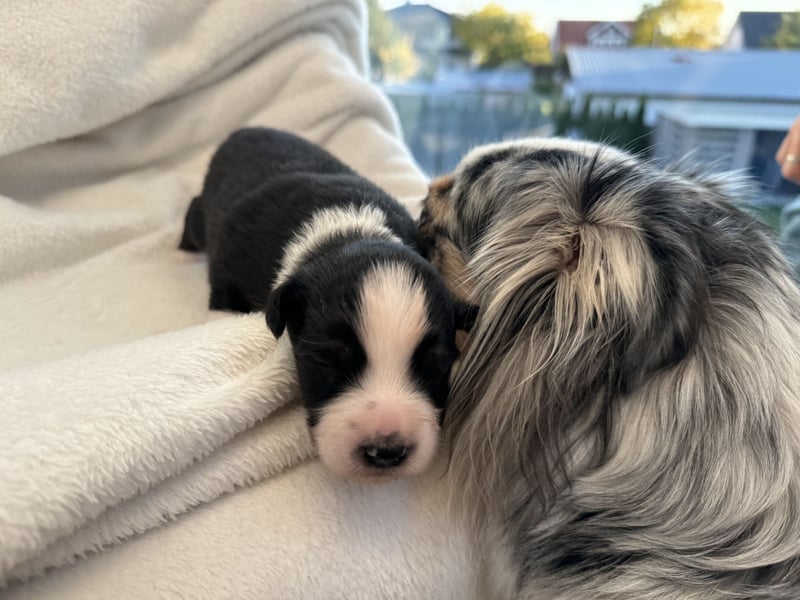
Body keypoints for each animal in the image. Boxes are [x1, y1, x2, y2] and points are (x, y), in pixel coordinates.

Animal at [180, 127, 476, 482]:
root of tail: (244, 130)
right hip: (205, 214)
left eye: (439, 363)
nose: (386, 452)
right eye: (325, 361)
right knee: (194, 213)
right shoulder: (228, 276)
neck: (346, 232)